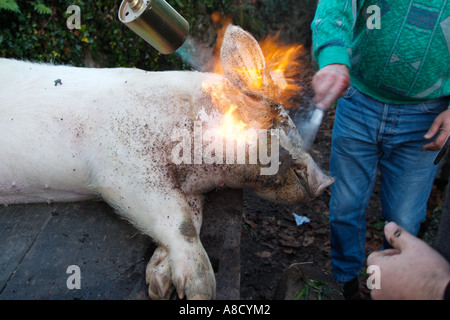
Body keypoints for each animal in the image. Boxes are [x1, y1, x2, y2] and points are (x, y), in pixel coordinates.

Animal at [0, 25, 330, 300]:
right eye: (282, 124)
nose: (326, 181)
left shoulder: (190, 191)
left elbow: (192, 220)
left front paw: (159, 286)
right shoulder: (121, 162)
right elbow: (182, 221)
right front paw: (199, 292)